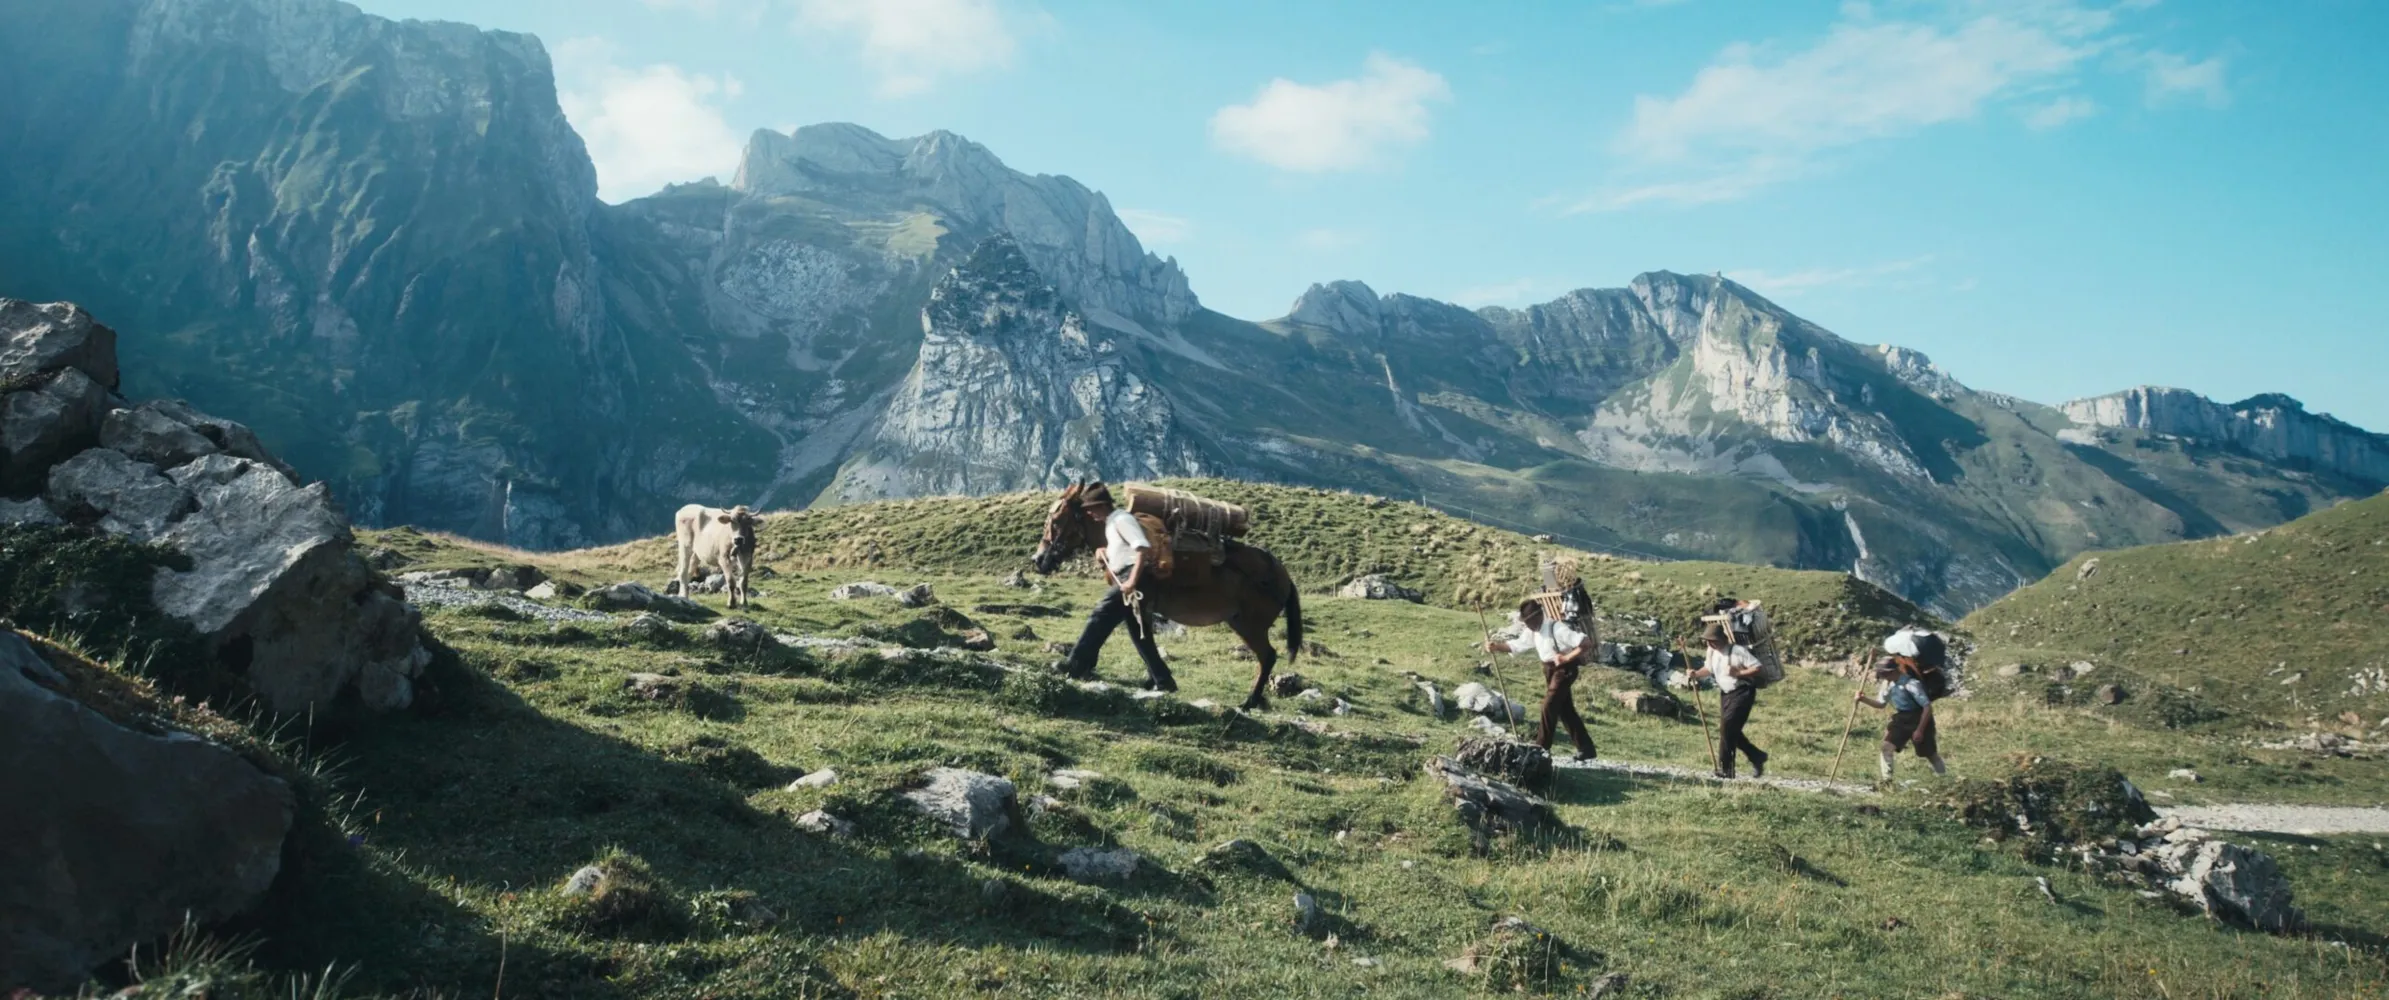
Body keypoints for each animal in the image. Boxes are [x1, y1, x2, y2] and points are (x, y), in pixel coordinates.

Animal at [1027, 484, 1309, 711]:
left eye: (1055, 520)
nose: (1038, 560)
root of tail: (1284, 576)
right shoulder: (1137, 603)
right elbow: (1141, 638)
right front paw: (1158, 680)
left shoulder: (1129, 594)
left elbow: (1105, 622)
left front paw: (1071, 665)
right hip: (1241, 622)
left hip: (1249, 624)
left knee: (1268, 656)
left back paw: (1250, 701)